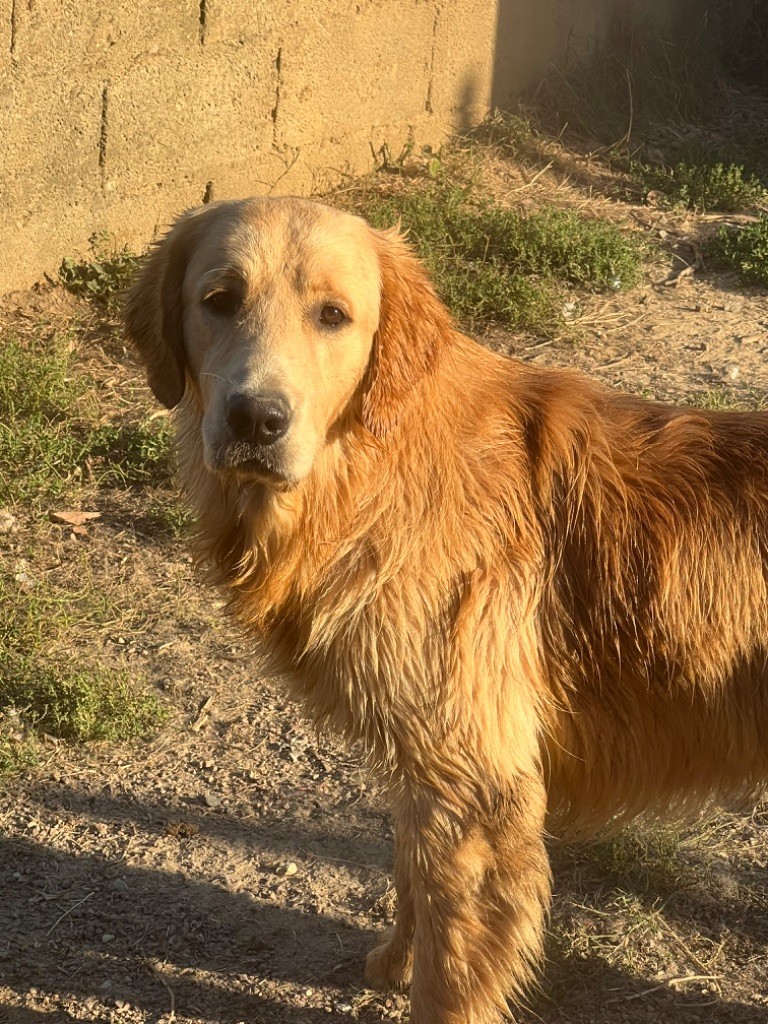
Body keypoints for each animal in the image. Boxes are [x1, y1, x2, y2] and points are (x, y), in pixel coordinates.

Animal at [126, 197, 768, 1024]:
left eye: (332, 315)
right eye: (219, 300)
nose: (256, 419)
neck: (369, 467)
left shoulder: (478, 785)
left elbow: (453, 963)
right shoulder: (425, 759)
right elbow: (414, 881)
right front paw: (396, 959)